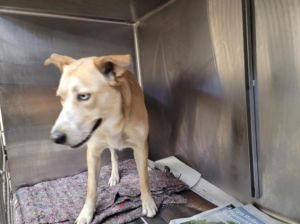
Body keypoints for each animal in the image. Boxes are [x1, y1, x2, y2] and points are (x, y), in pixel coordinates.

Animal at [44, 54, 158, 224]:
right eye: (61, 98)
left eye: (83, 96)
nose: (55, 137)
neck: (113, 122)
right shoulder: (93, 153)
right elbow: (91, 186)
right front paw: (86, 212)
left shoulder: (139, 146)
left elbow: (144, 178)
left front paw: (148, 202)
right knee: (113, 156)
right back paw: (114, 175)